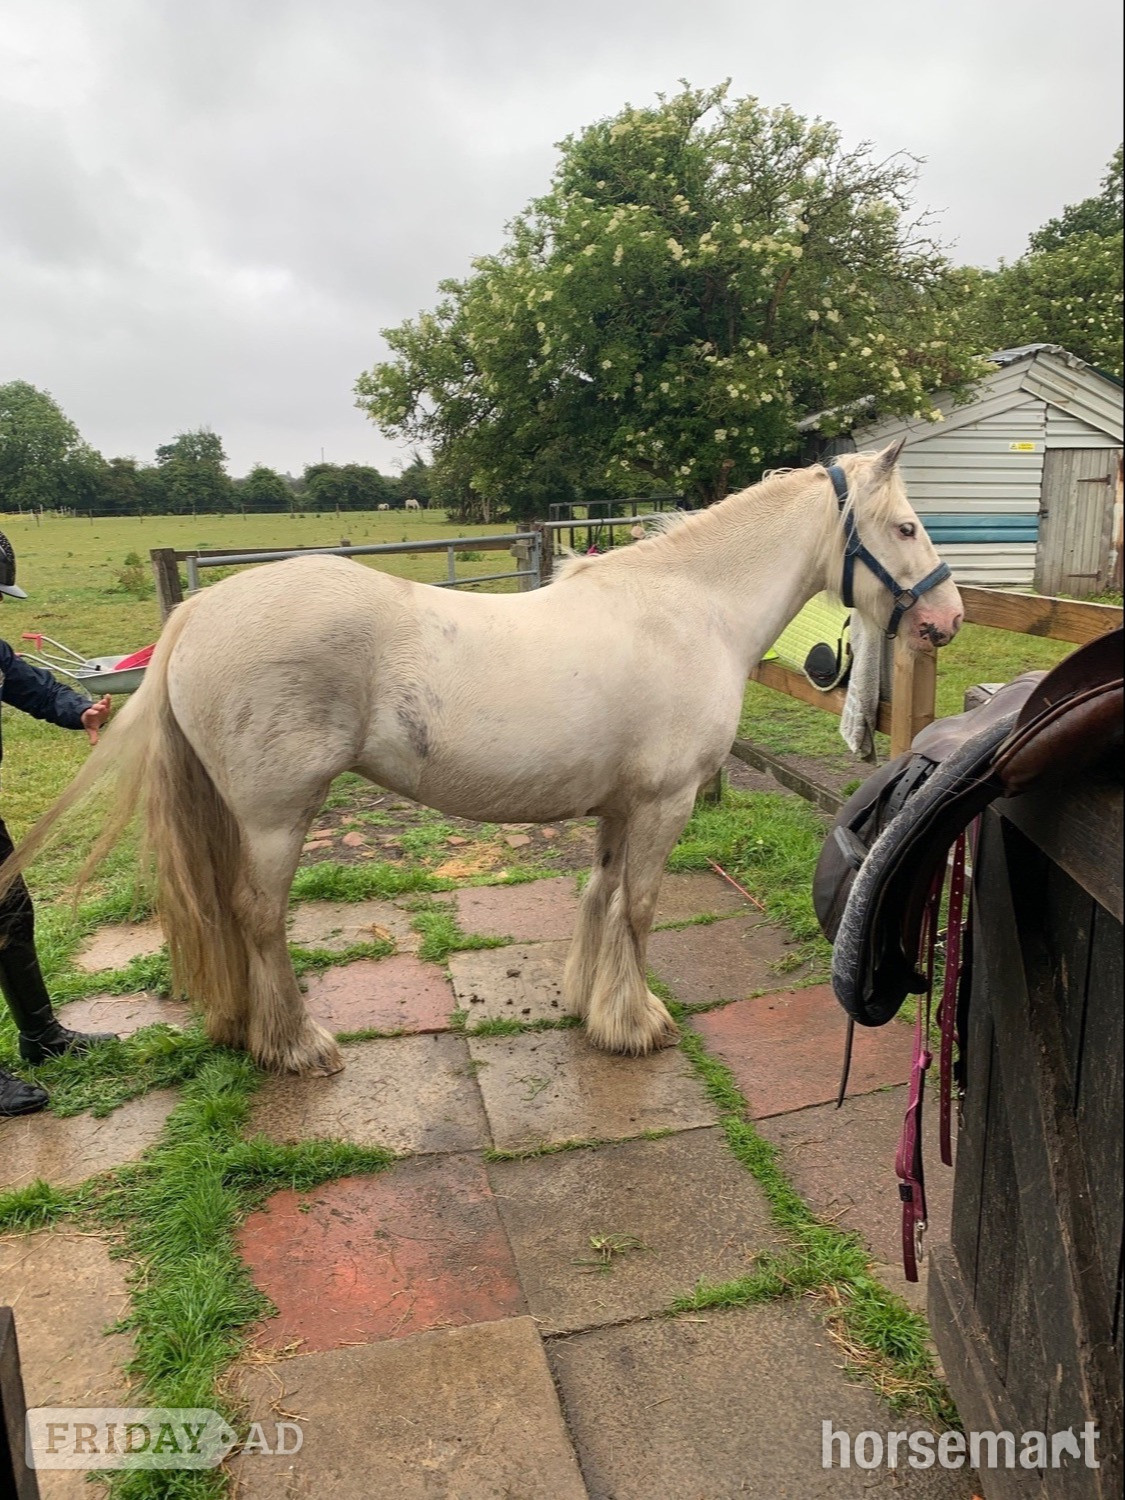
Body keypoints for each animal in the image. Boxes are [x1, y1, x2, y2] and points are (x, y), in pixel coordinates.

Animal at [1, 445, 962, 1077]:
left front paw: (590, 1008)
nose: (947, 618)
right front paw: (637, 1023)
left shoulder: (620, 807)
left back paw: (247, 1030)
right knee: (257, 916)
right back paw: (296, 1045)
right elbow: (639, 910)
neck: (690, 607)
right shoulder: (664, 802)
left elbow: (599, 896)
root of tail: (198, 612)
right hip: (275, 818)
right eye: (907, 526)